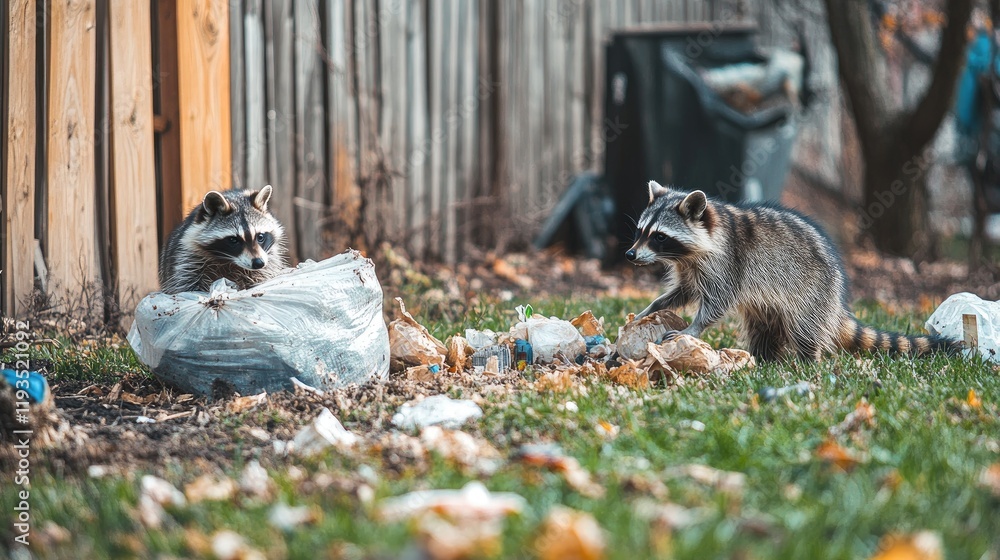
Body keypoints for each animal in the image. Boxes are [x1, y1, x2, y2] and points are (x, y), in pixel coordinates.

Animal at [158, 185, 288, 294]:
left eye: (260, 237)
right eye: (233, 240)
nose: (258, 263)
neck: (229, 260)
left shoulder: (269, 257)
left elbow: (261, 275)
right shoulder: (187, 257)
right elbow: (184, 282)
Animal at [626, 181, 960, 361]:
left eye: (659, 236)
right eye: (641, 231)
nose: (630, 255)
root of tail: (836, 300)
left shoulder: (727, 263)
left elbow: (717, 302)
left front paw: (693, 329)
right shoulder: (690, 266)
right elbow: (683, 291)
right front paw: (652, 308)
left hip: (812, 294)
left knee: (805, 329)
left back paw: (807, 361)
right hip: (771, 307)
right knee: (762, 329)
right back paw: (763, 358)